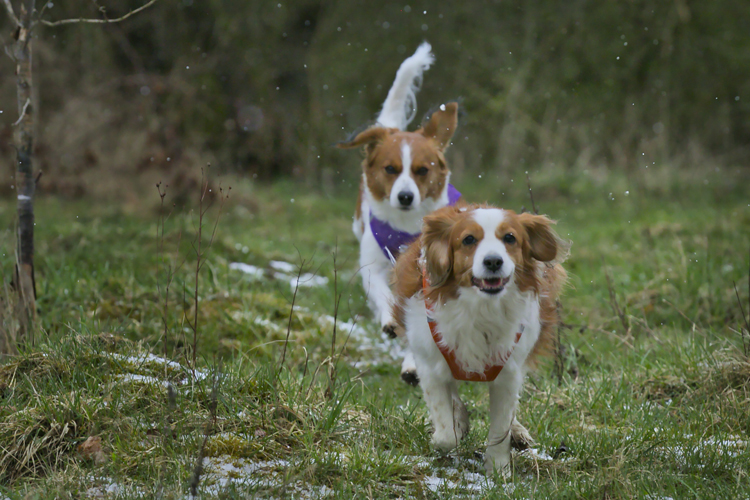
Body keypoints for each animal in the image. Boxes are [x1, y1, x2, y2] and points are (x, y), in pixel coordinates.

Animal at [340, 43, 462, 380]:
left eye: (422, 170)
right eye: (390, 169)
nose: (406, 196)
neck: (405, 225)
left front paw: (412, 362)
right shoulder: (372, 264)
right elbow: (384, 293)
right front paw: (390, 321)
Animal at [390, 203, 568, 472]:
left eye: (510, 238)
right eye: (468, 240)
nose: (493, 260)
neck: (481, 308)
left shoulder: (509, 371)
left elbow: (501, 427)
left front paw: (498, 469)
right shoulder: (430, 365)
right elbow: (446, 432)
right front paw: (448, 432)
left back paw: (517, 432)